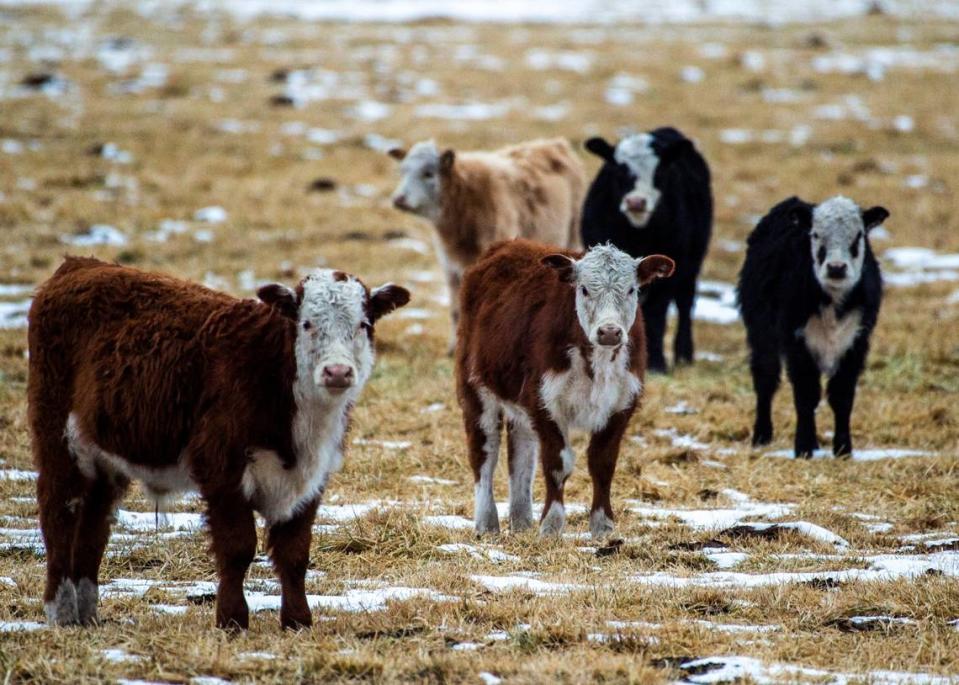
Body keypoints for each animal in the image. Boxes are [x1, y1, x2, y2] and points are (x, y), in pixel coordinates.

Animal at [26, 258, 408, 632]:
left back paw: (87, 614)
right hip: (58, 437)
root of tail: (78, 265)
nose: (337, 372)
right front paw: (232, 619)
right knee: (59, 512)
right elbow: (238, 547)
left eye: (363, 324)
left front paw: (298, 620)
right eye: (307, 324)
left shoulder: (312, 478)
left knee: (93, 524)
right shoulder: (220, 466)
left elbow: (295, 552)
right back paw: (61, 612)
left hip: (104, 459)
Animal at [388, 139, 584, 352]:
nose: (399, 199)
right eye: (402, 171)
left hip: (572, 234)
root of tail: (555, 143)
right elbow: (456, 310)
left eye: (428, 173)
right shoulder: (451, 268)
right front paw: (454, 348)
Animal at [458, 238, 676, 536]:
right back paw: (487, 522)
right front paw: (551, 525)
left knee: (521, 455)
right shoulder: (545, 401)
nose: (610, 331)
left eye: (631, 289)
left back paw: (521, 520)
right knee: (484, 453)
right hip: (476, 389)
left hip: (520, 406)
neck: (597, 363)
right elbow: (558, 464)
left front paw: (602, 525)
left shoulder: (622, 404)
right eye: (583, 289)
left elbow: (603, 464)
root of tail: (508, 244)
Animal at [740, 195, 888, 456]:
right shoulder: (797, 341)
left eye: (858, 235)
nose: (837, 268)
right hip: (761, 335)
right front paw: (803, 447)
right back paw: (761, 436)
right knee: (765, 380)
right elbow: (806, 394)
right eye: (816, 234)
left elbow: (842, 396)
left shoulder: (856, 342)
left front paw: (843, 449)